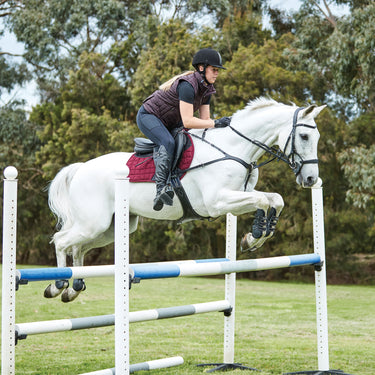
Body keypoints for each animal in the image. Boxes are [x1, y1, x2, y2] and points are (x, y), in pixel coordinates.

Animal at [44, 97, 326, 302]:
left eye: (317, 138)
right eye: (304, 136)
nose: (311, 179)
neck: (234, 149)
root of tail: (80, 168)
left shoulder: (239, 195)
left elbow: (274, 199)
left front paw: (254, 236)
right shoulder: (218, 202)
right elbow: (264, 202)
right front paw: (255, 236)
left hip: (110, 228)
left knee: (78, 248)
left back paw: (74, 288)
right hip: (94, 223)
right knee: (61, 241)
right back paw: (58, 285)